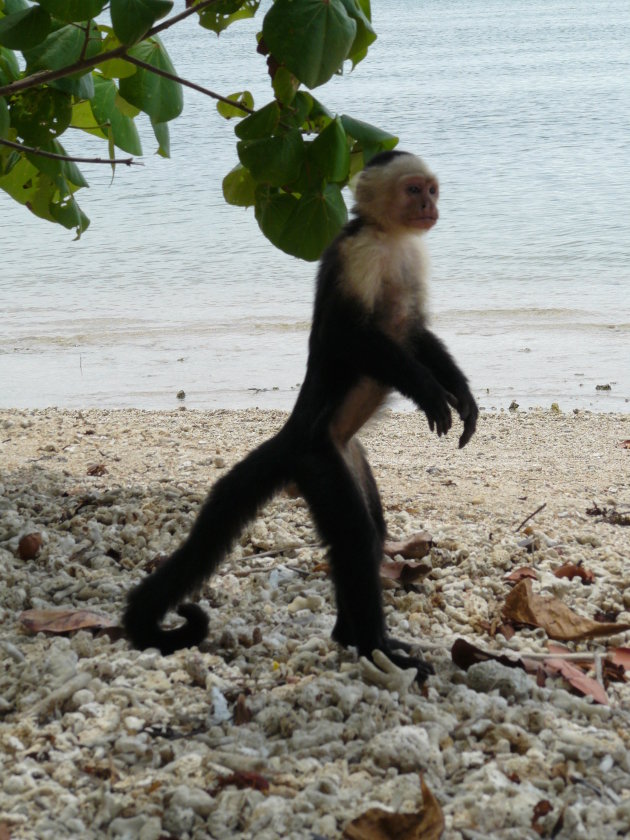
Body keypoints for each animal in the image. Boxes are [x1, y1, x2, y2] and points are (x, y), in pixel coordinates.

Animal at [124, 151, 478, 684]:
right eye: (413, 189)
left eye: (431, 190)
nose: (429, 206)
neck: (388, 236)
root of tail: (293, 434)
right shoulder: (358, 255)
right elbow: (351, 337)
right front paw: (431, 393)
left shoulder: (414, 258)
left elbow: (416, 333)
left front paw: (462, 397)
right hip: (319, 461)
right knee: (355, 536)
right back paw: (373, 645)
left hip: (348, 453)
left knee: (372, 532)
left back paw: (351, 636)